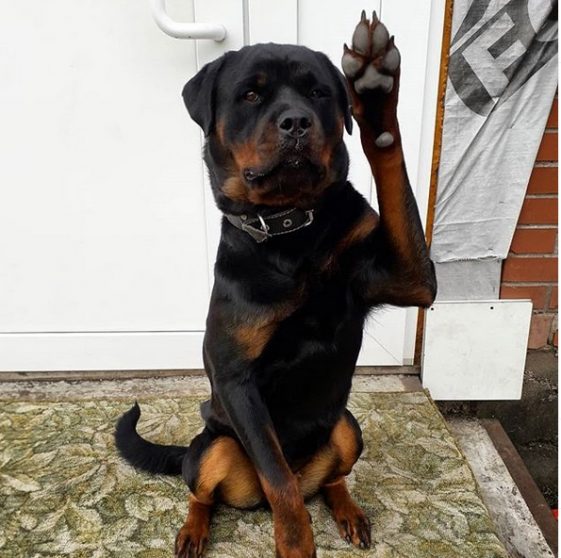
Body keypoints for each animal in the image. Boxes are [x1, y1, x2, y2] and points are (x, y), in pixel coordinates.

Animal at [116, 13, 436, 558]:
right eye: (250, 95)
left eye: (318, 93)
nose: (296, 122)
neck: (290, 232)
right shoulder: (237, 379)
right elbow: (277, 476)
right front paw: (295, 541)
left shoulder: (413, 279)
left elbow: (392, 171)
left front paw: (375, 90)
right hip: (213, 447)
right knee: (207, 490)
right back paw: (193, 531)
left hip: (347, 427)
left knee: (330, 478)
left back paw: (347, 509)